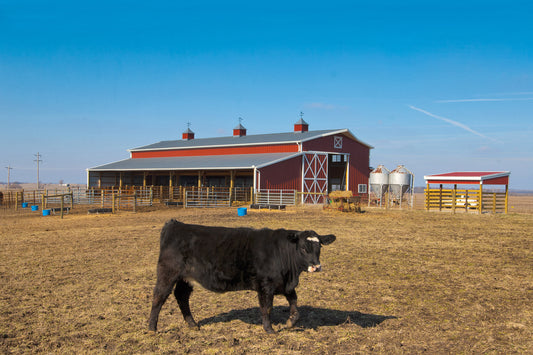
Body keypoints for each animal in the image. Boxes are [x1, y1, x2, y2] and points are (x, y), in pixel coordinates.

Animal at [148, 220, 334, 334]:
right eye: (303, 248)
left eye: (319, 247)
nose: (316, 266)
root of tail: (175, 224)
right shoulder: (266, 285)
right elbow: (266, 308)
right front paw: (269, 329)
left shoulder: (285, 284)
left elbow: (294, 303)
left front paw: (290, 322)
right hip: (167, 273)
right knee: (159, 297)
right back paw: (152, 328)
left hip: (186, 279)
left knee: (182, 297)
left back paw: (192, 324)